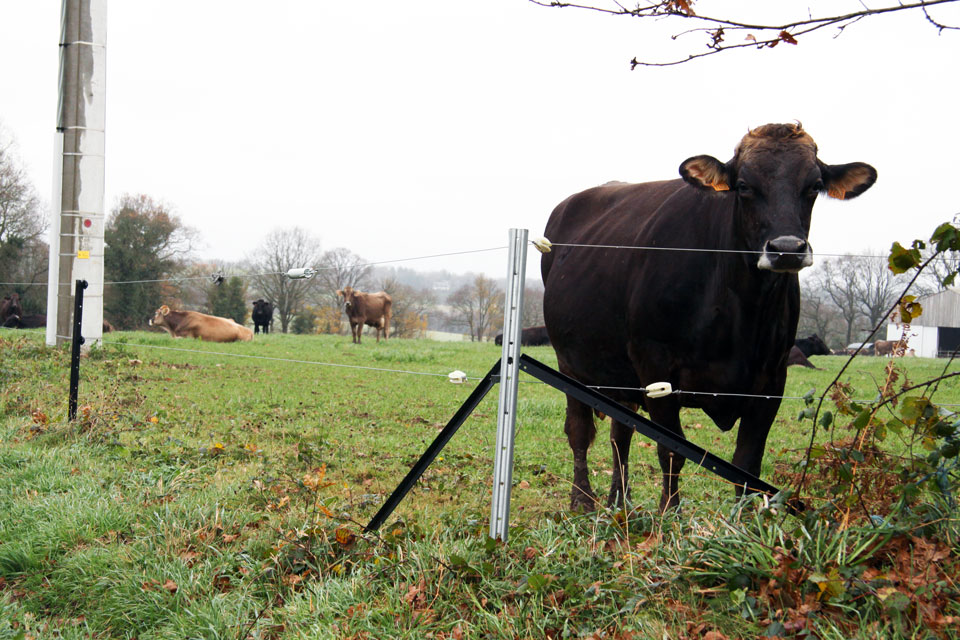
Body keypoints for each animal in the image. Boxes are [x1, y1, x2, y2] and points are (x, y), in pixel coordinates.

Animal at [540, 121, 876, 510]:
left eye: (814, 186)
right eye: (744, 185)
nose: (786, 249)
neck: (739, 309)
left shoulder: (771, 381)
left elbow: (747, 463)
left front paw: (743, 519)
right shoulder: (655, 369)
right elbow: (672, 452)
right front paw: (669, 513)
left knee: (619, 433)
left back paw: (619, 501)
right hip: (570, 364)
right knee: (580, 431)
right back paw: (582, 500)